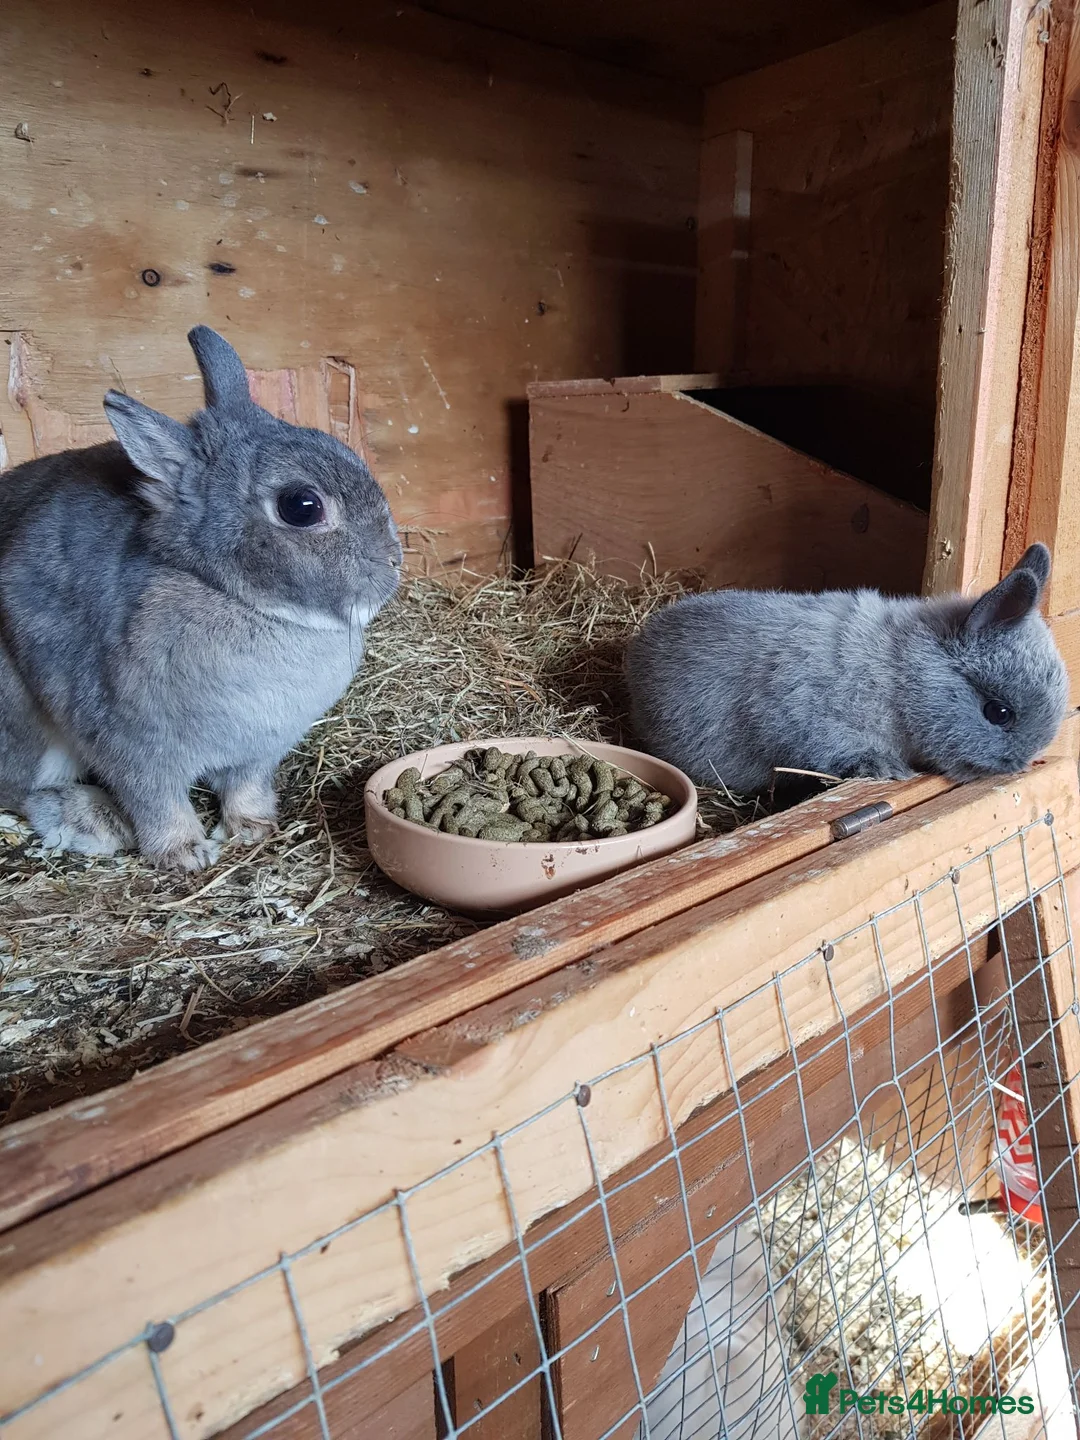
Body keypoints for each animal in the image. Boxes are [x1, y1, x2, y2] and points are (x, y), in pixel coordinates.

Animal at [0, 326, 402, 871]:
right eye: (301, 506)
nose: (393, 564)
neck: (226, 592)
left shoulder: (258, 751)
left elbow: (245, 788)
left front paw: (252, 829)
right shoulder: (131, 745)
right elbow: (157, 801)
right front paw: (184, 854)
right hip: (23, 718)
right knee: (19, 788)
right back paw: (92, 820)